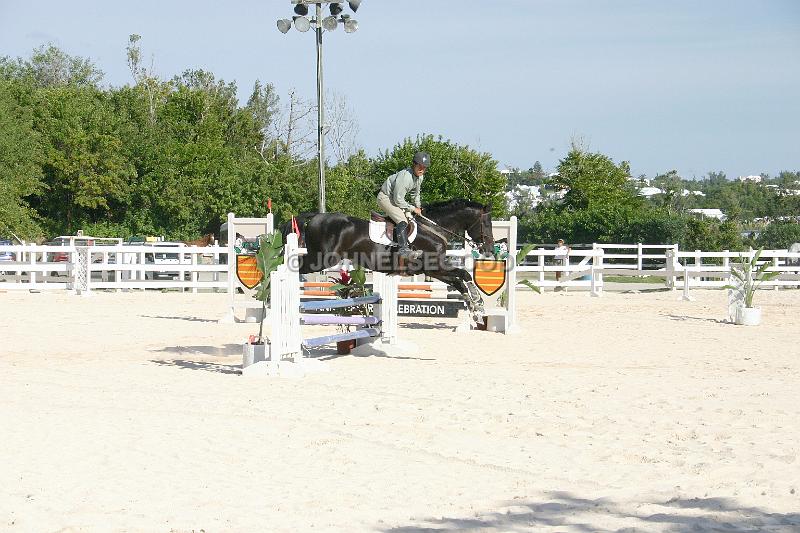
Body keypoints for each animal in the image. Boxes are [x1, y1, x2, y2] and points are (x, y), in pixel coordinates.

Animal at [282, 198, 494, 320]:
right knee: (294, 268)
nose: (490, 249)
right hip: (322, 259)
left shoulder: (433, 270)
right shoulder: (433, 266)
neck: (434, 228)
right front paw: (478, 302)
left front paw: (476, 310)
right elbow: (464, 274)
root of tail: (316, 216)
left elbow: (459, 280)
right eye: (486, 223)